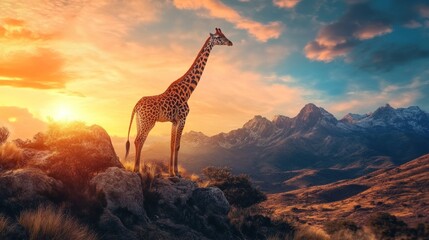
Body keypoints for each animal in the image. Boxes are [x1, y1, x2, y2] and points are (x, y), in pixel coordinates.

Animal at [124, 28, 231, 176]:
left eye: (224, 35)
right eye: (219, 37)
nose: (230, 42)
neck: (187, 92)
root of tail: (136, 105)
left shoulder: (174, 121)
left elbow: (171, 145)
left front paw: (171, 172)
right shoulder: (182, 118)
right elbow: (178, 146)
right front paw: (177, 172)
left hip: (139, 121)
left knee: (137, 140)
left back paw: (137, 168)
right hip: (148, 121)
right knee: (139, 140)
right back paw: (137, 169)